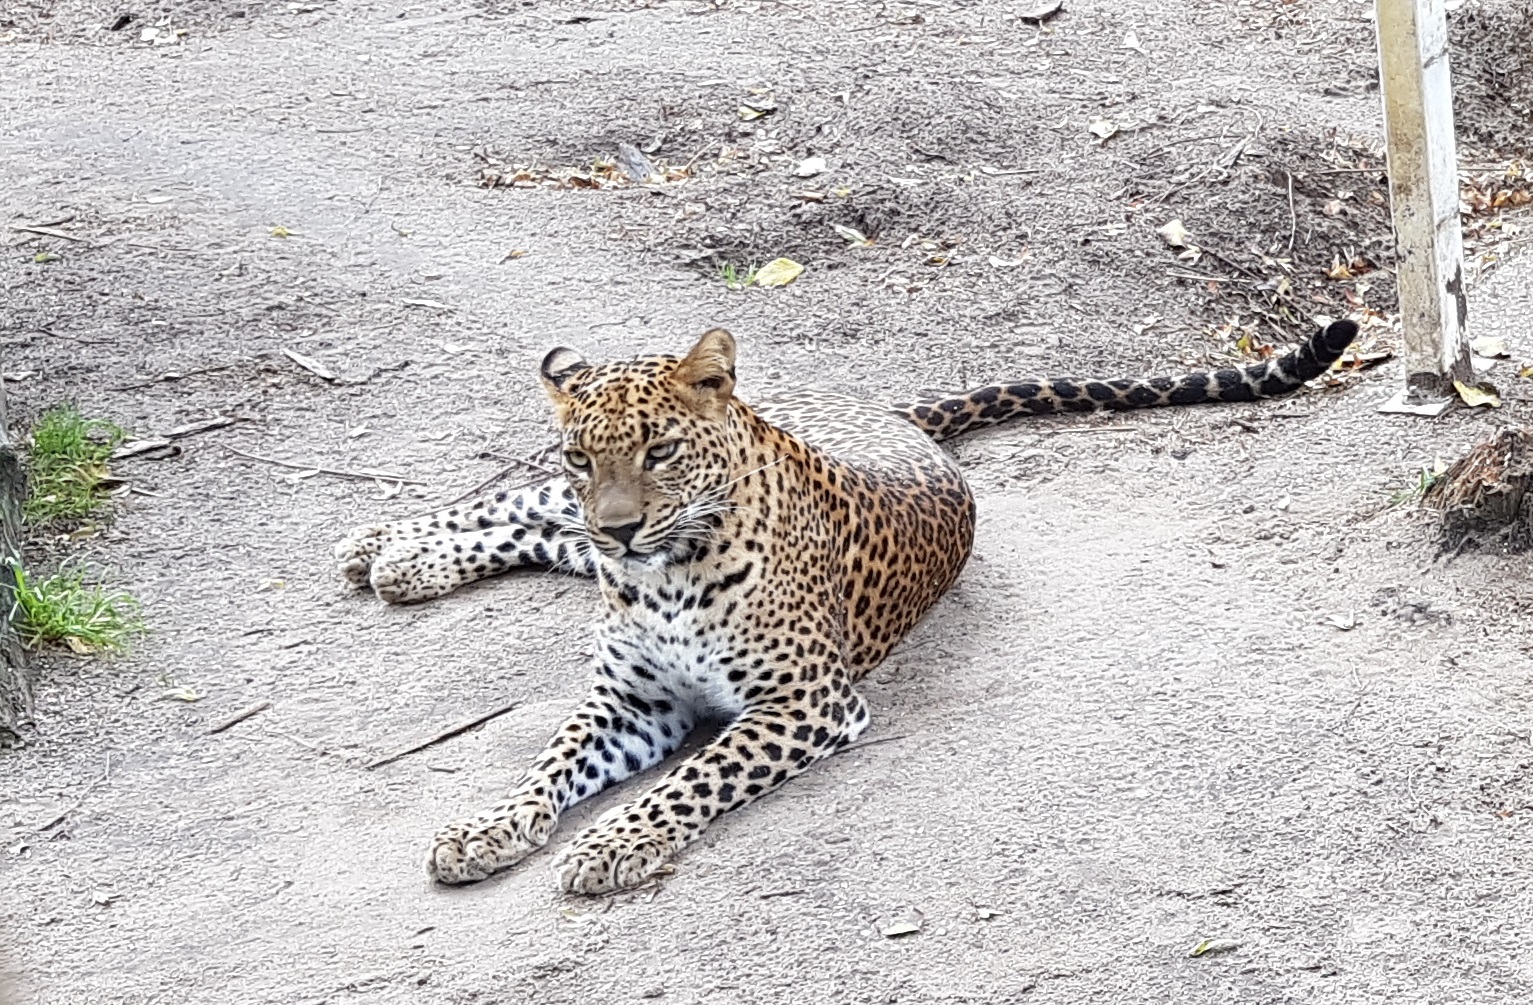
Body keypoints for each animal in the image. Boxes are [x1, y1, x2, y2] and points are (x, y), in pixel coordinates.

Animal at [335, 319, 1357, 894]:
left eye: (661, 450)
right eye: (586, 454)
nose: (621, 525)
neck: (664, 576)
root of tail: (891, 416)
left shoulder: (800, 702)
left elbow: (688, 778)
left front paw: (610, 843)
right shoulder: (629, 697)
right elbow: (548, 762)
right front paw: (488, 827)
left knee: (541, 530)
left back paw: (398, 559)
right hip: (567, 526)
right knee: (528, 506)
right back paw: (386, 543)